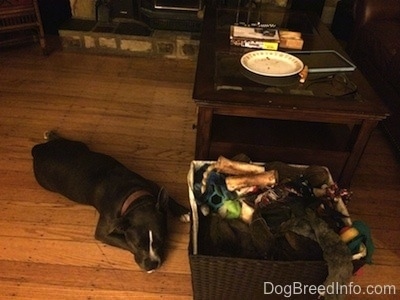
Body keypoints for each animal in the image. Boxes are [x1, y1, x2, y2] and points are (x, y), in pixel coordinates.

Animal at [30, 131, 190, 272]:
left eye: (161, 241)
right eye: (137, 245)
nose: (152, 265)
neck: (135, 196)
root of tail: (39, 150)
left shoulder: (152, 184)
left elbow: (169, 198)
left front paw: (183, 212)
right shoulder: (104, 232)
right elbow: (123, 241)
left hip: (78, 145)